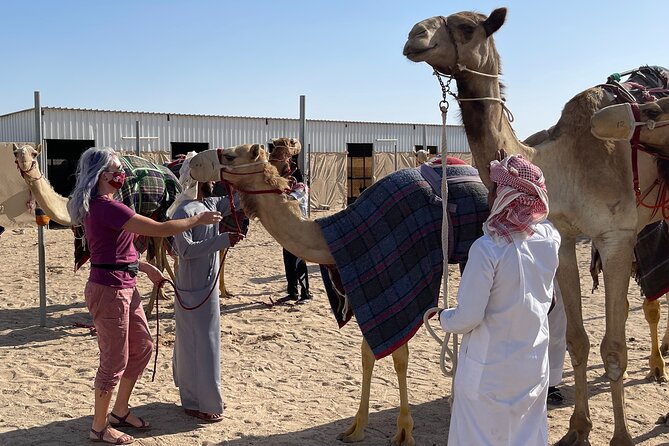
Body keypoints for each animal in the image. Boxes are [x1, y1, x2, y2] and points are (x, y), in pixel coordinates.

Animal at [187, 142, 490, 446]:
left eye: (229, 156)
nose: (192, 163)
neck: (333, 238)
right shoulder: (365, 285)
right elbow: (367, 353)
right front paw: (356, 428)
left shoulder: (402, 281)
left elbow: (399, 356)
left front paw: (404, 431)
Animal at [403, 8, 669, 445]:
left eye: (466, 27)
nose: (414, 37)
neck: (564, 163)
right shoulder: (564, 237)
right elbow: (578, 341)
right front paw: (578, 429)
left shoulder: (616, 236)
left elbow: (613, 348)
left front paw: (621, 437)